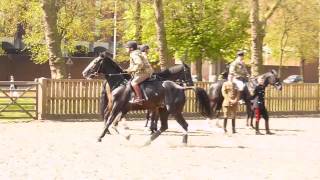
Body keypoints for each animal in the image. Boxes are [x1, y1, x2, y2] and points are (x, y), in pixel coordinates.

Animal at [82, 52, 212, 146]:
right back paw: (147, 141)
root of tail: (180, 87)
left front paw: (100, 137)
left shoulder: (117, 106)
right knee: (165, 126)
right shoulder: (122, 108)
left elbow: (111, 121)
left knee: (184, 125)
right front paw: (127, 135)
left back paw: (183, 142)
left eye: (95, 62)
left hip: (174, 111)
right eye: (187, 72)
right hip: (164, 110)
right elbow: (114, 123)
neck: (120, 82)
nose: (84, 73)